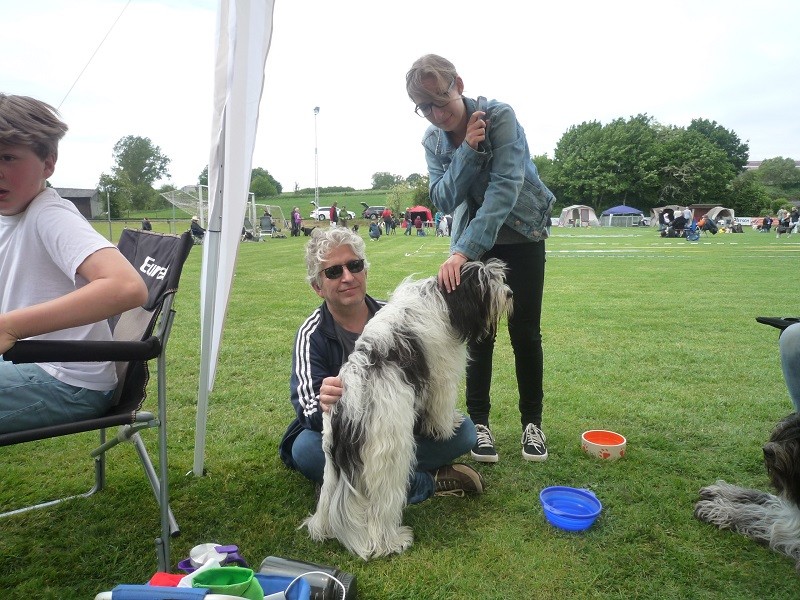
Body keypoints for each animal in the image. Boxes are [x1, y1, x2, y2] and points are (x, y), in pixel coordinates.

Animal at [300, 260, 512, 560]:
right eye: (486, 282)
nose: (509, 293)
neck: (443, 299)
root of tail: (349, 406)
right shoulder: (441, 373)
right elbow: (441, 403)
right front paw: (449, 425)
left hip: (333, 463)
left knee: (331, 498)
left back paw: (324, 528)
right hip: (388, 454)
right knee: (381, 505)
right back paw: (388, 542)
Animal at [692, 412, 800, 572]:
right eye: (783, 432)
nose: (767, 450)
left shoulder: (790, 528)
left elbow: (756, 514)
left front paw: (717, 509)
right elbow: (763, 496)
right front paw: (723, 490)